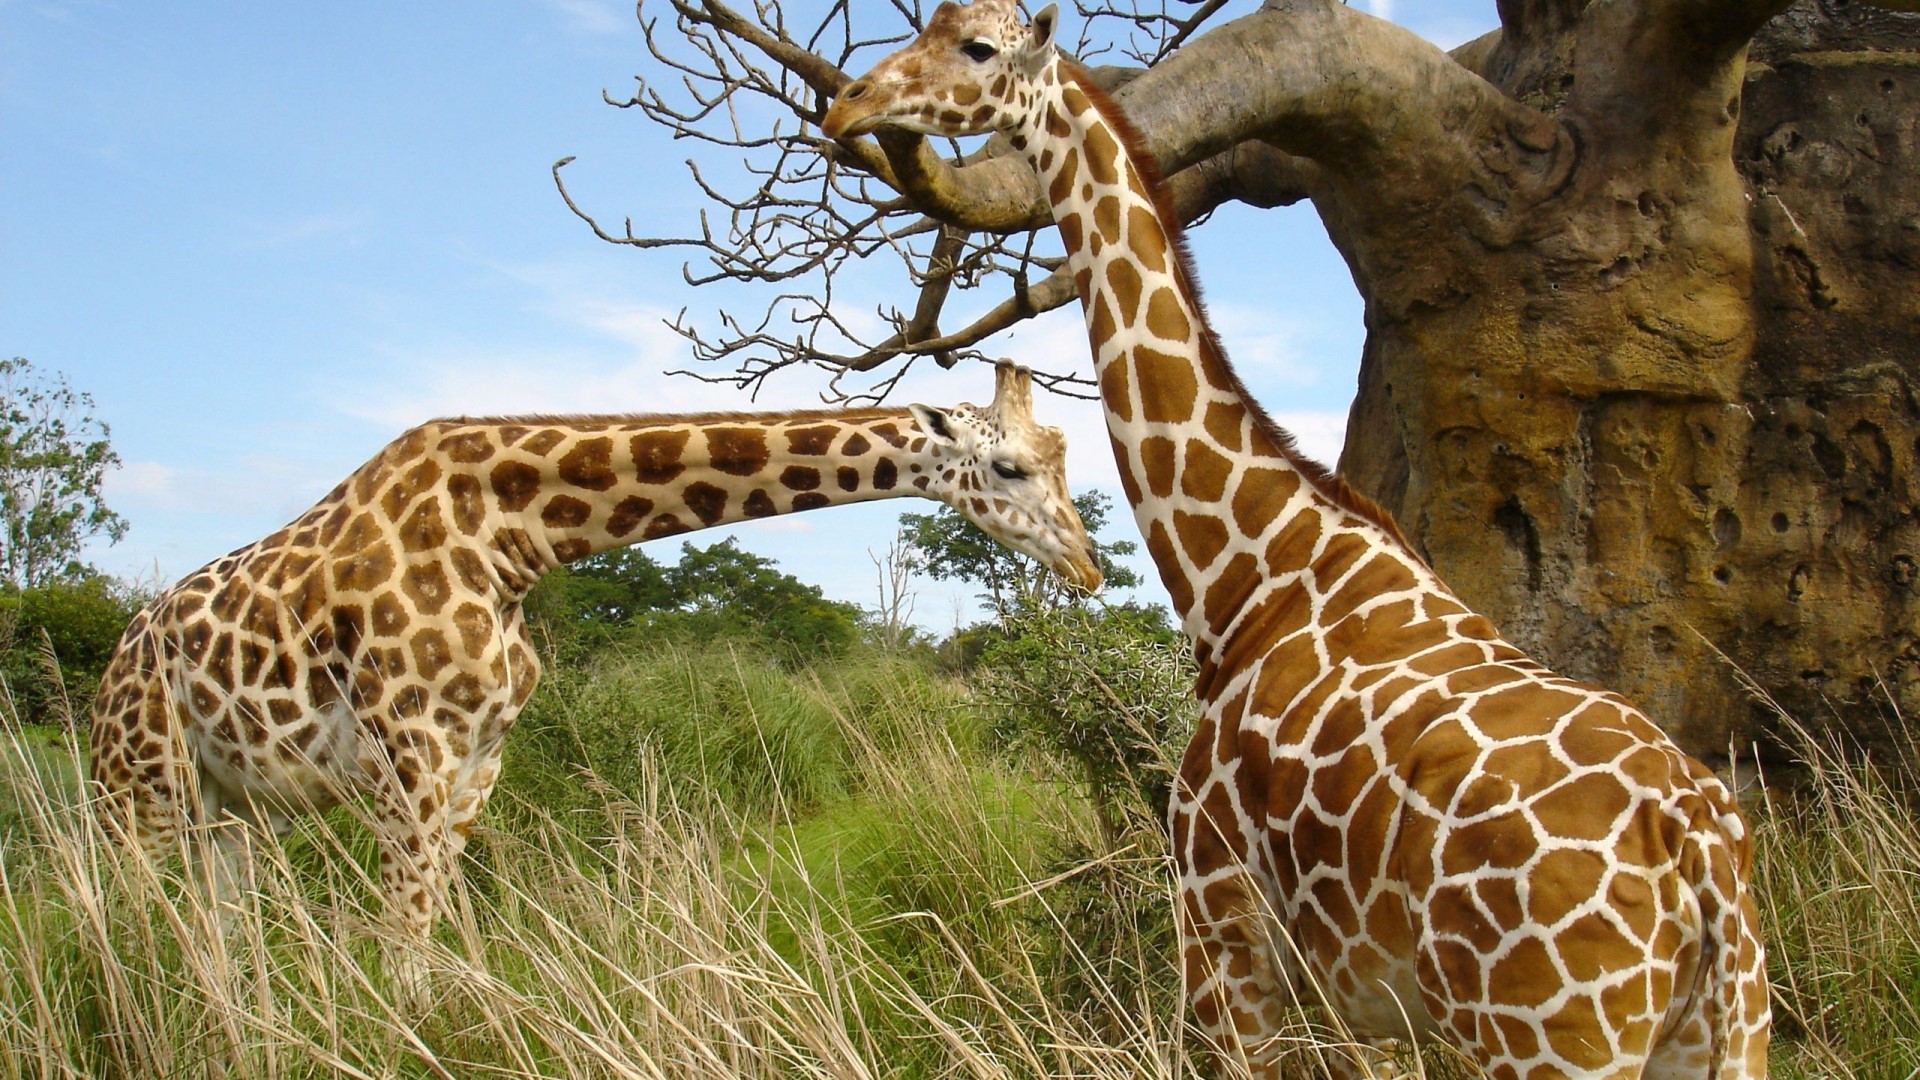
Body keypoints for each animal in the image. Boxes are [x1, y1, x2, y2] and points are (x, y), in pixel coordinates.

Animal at [88, 361, 1100, 976]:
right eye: (1011, 468)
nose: (1089, 567)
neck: (510, 539)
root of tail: (114, 665)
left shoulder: (478, 761)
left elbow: (434, 931)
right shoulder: (411, 751)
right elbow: (404, 939)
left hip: (232, 808)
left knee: (218, 934)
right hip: (137, 793)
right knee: (129, 926)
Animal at [825, 5, 1770, 1077]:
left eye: (978, 47)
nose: (848, 102)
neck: (1251, 574)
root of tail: (1699, 854)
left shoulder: (1219, 918)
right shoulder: (1361, 993)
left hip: (1551, 1037)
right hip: (1721, 1032)